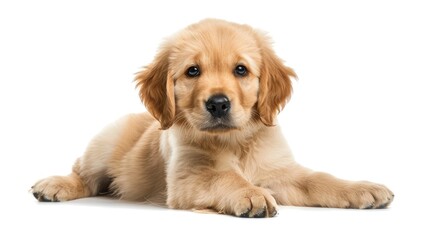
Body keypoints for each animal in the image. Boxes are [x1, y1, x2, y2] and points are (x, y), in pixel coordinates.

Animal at [30, 18, 392, 218]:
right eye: (193, 71)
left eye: (241, 70)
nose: (218, 104)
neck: (236, 141)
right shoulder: (188, 178)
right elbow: (225, 177)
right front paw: (250, 194)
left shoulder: (280, 171)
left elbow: (318, 179)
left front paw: (363, 189)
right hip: (104, 142)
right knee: (85, 175)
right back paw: (54, 185)